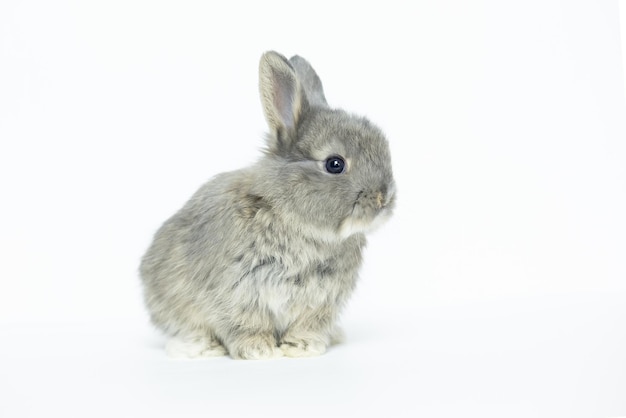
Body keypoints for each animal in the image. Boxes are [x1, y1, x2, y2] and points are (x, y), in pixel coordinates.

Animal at [141, 50, 394, 360]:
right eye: (335, 164)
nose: (383, 198)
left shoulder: (319, 303)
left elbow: (306, 326)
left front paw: (303, 347)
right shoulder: (236, 293)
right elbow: (245, 323)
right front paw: (259, 350)